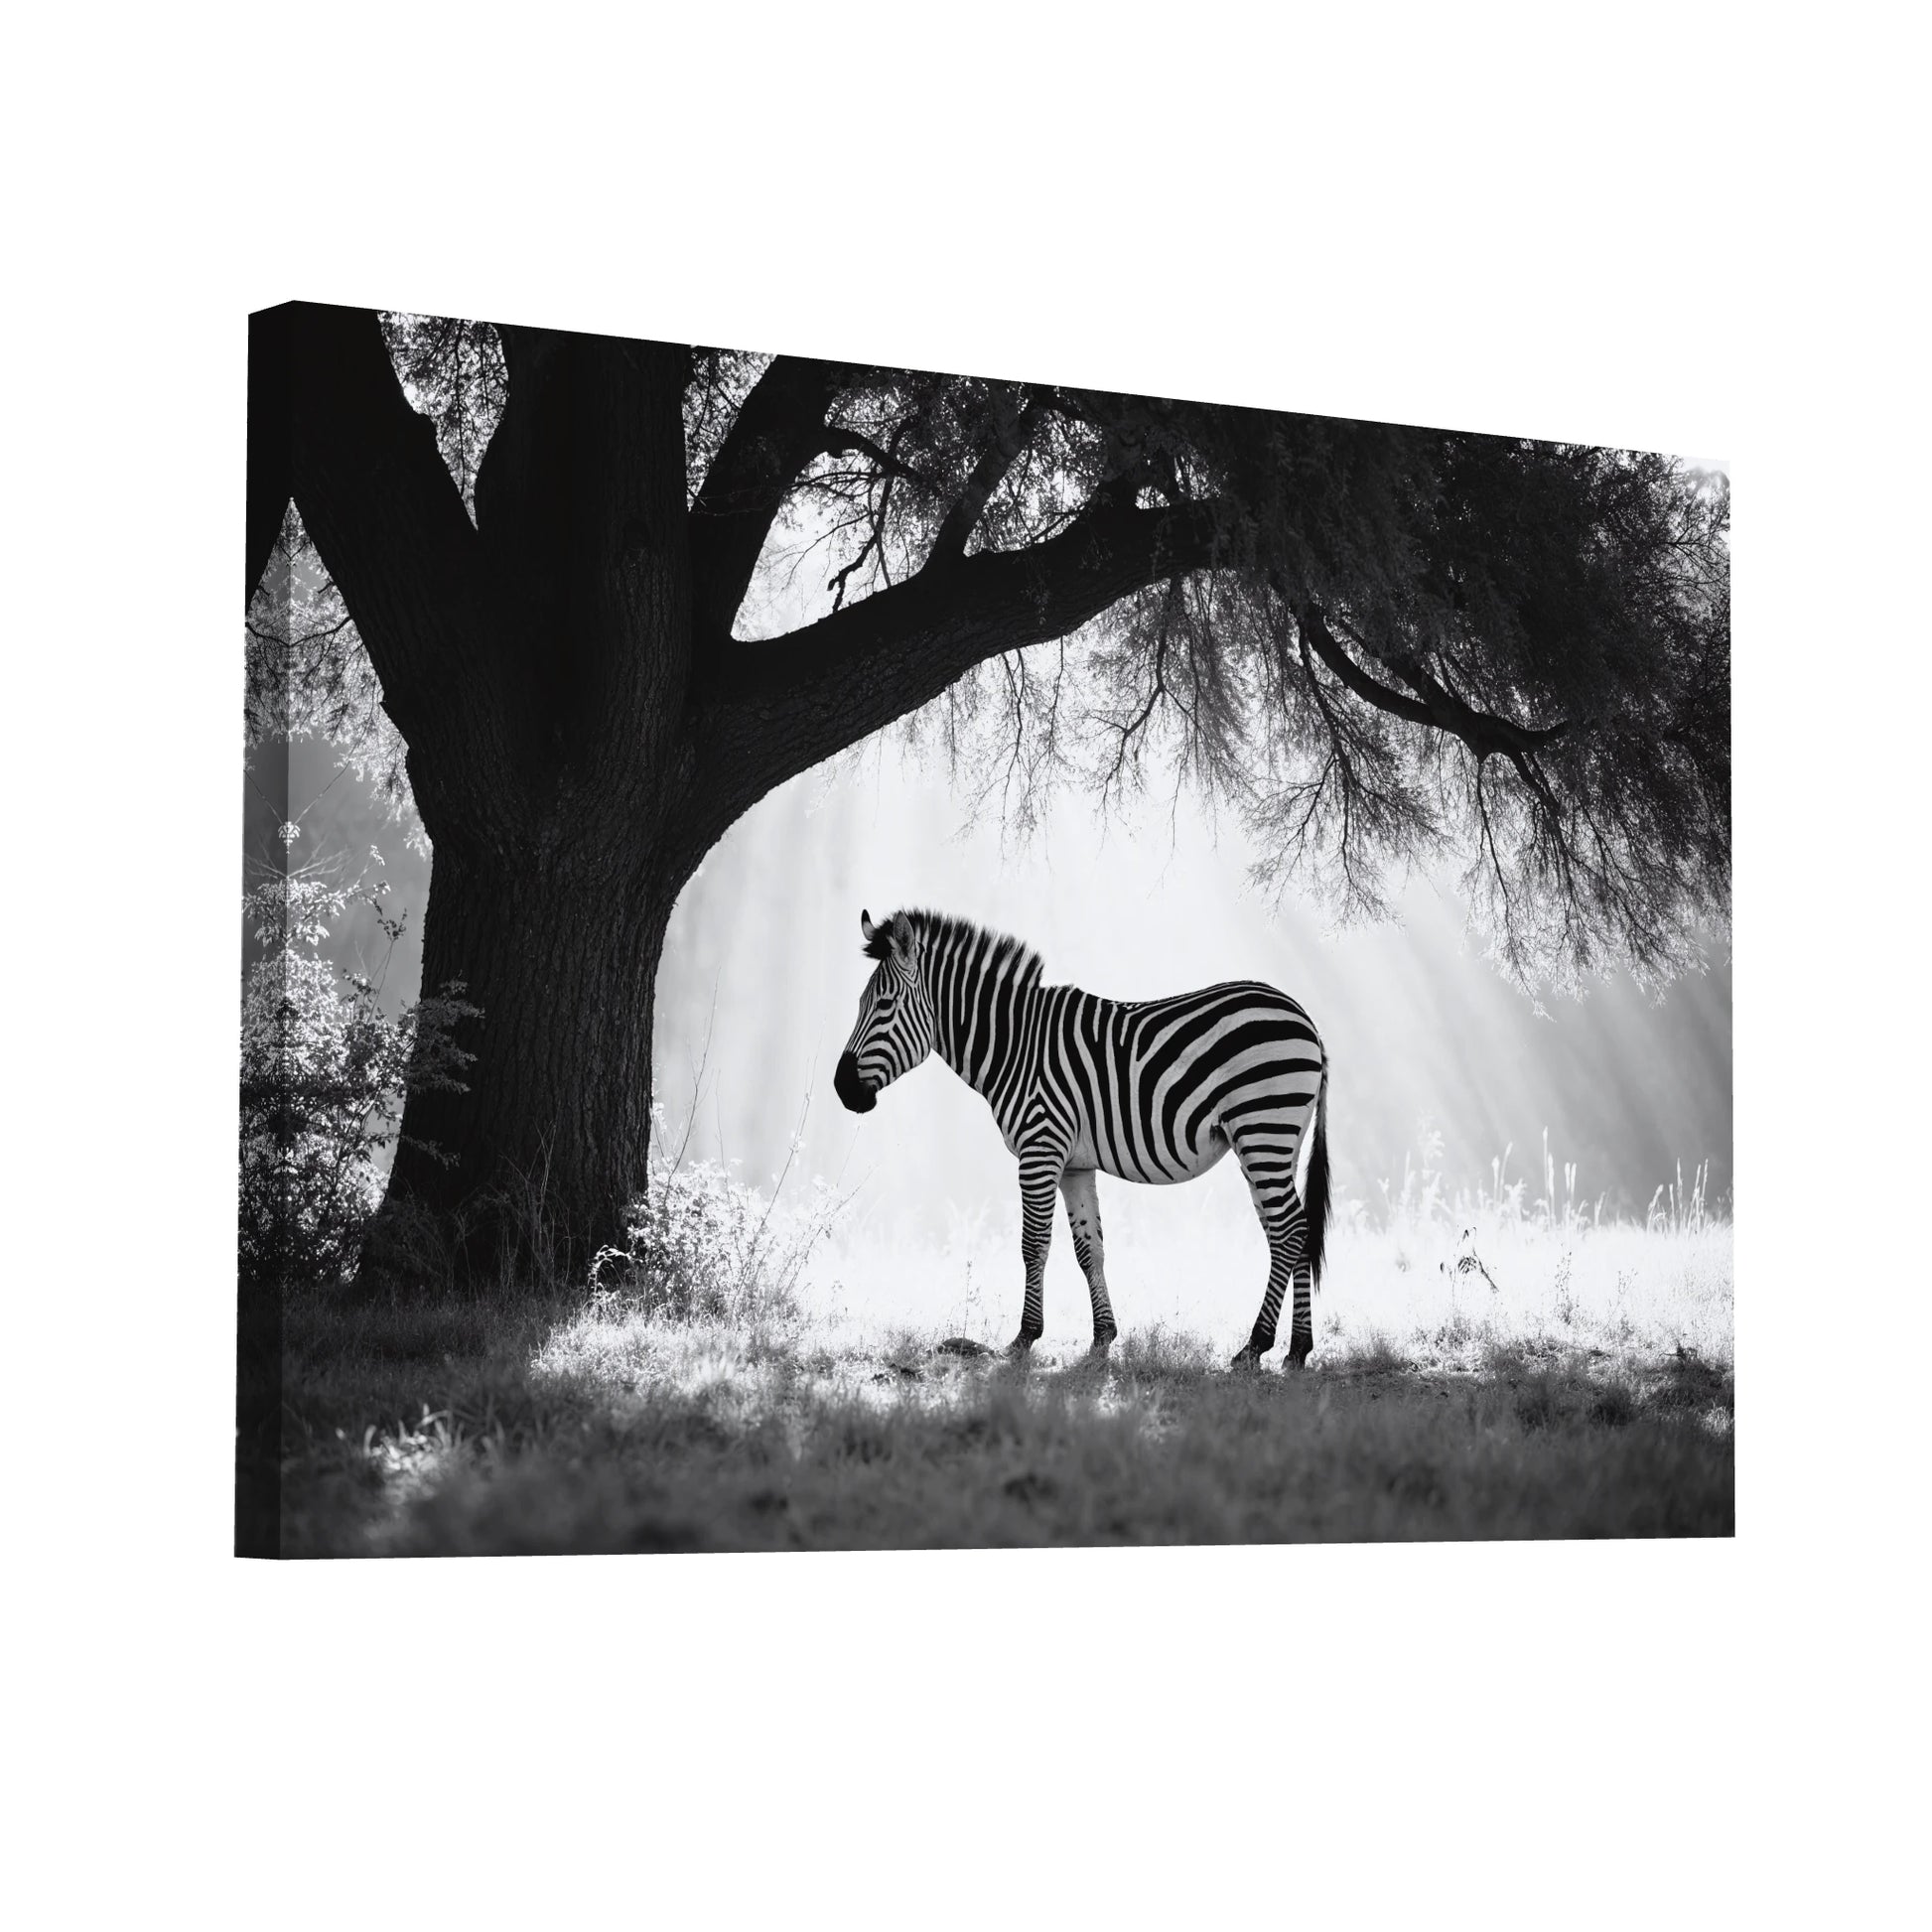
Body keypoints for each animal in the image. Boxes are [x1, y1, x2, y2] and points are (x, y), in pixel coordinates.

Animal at [833, 908, 1331, 1369]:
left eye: (883, 1006)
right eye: (859, 1004)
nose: (841, 1089)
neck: (1015, 1045)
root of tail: (1306, 1019)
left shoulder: (1039, 1149)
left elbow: (1033, 1245)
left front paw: (1025, 1337)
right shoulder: (1074, 1163)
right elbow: (1089, 1249)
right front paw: (1103, 1337)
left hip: (1263, 1129)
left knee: (1290, 1229)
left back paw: (1256, 1347)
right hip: (1270, 1142)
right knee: (1290, 1232)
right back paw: (1296, 1349)